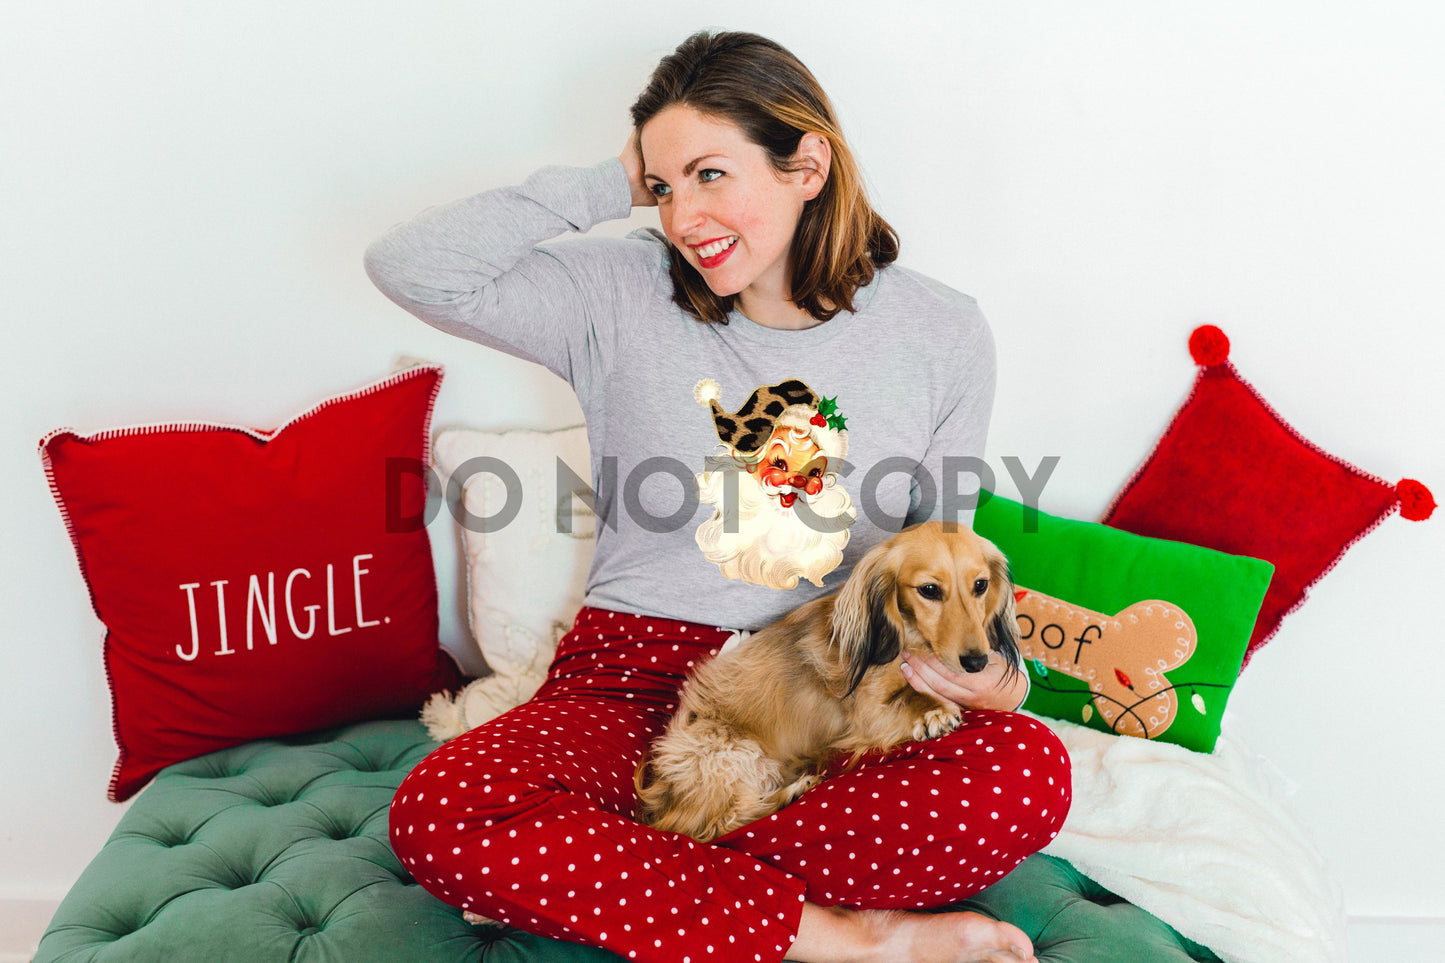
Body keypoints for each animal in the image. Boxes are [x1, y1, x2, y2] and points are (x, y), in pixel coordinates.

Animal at [638, 517, 1023, 838]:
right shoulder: (868, 711)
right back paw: (790, 795)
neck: (909, 638)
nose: (977, 662)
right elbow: (909, 697)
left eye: (980, 585)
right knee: (717, 825)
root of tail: (662, 799)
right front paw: (934, 711)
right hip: (733, 752)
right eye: (929, 590)